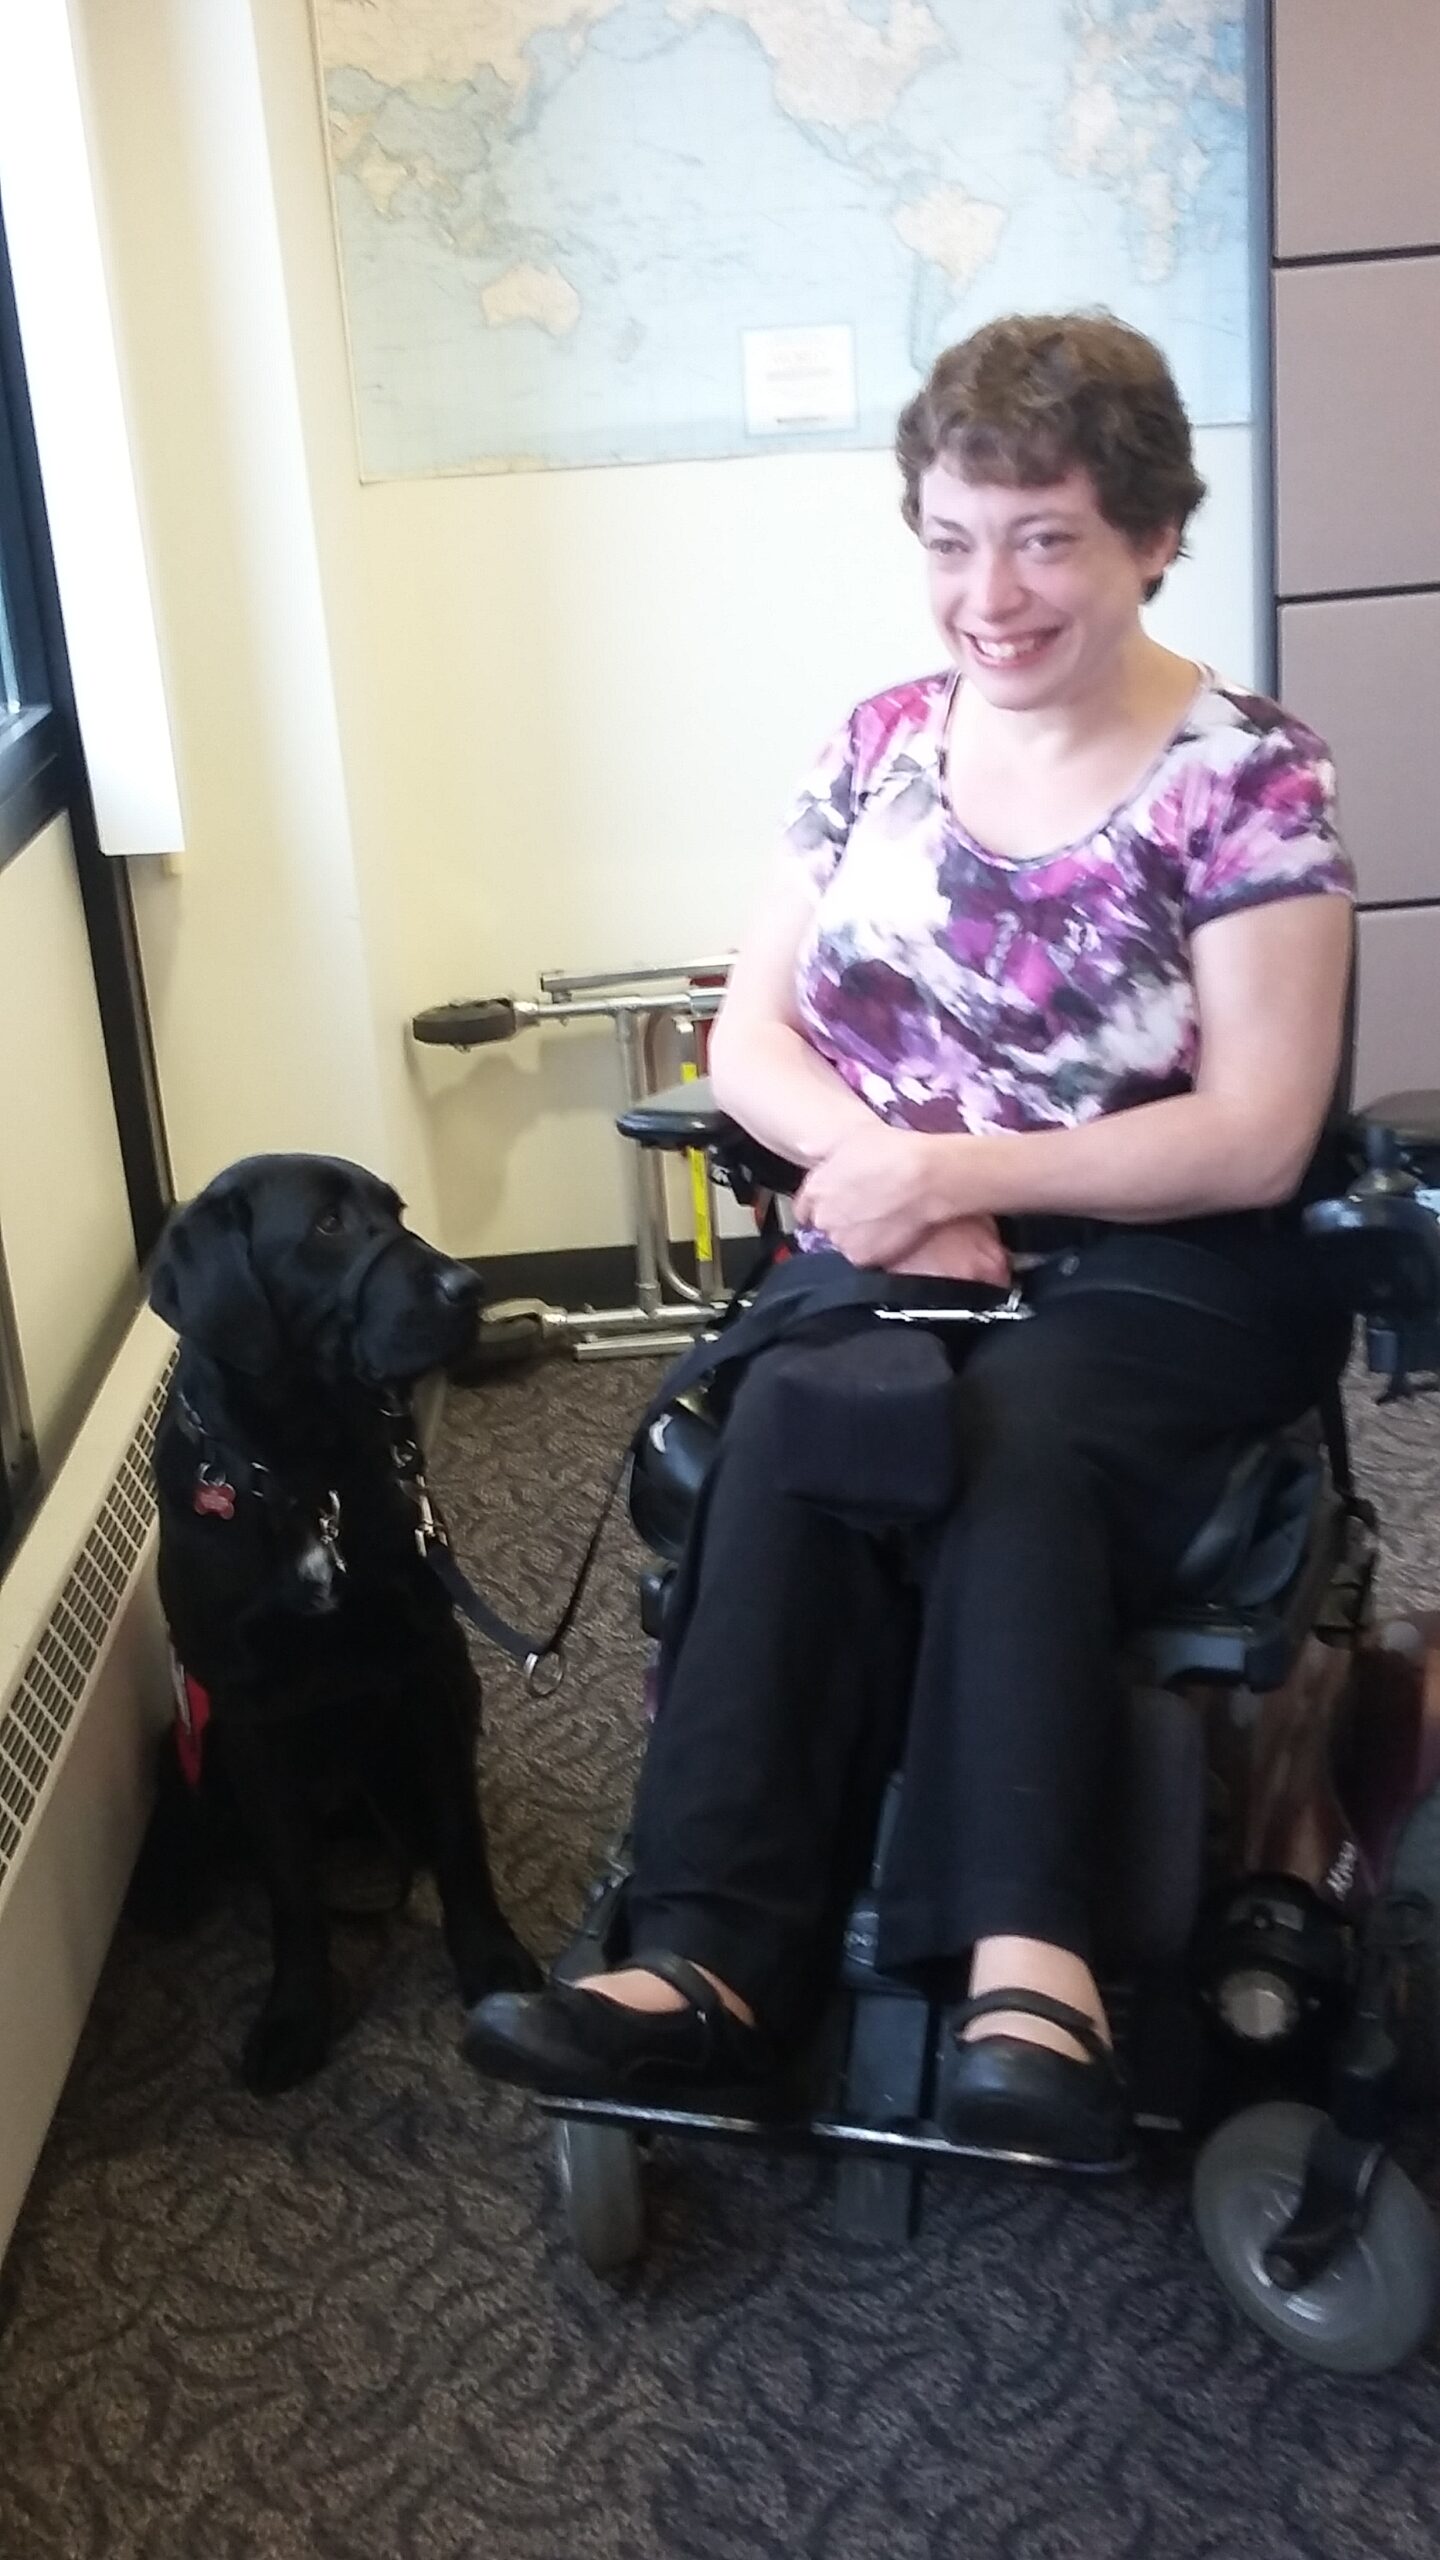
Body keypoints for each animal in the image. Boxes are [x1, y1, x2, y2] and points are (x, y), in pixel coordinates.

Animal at [144, 1152, 538, 2088]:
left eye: (395, 1211)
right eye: (327, 1225)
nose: (470, 1286)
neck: (305, 1473)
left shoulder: (427, 1668)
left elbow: (461, 1836)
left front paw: (489, 1957)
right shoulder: (247, 1714)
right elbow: (292, 1889)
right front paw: (294, 2016)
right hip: (193, 1730)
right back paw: (170, 1880)